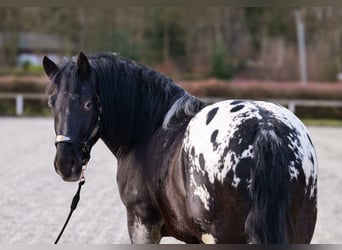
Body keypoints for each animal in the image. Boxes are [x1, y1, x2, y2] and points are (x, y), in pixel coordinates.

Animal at [43, 51, 318, 243]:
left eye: (88, 103)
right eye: (51, 103)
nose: (65, 164)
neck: (148, 130)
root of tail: (263, 127)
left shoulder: (142, 224)